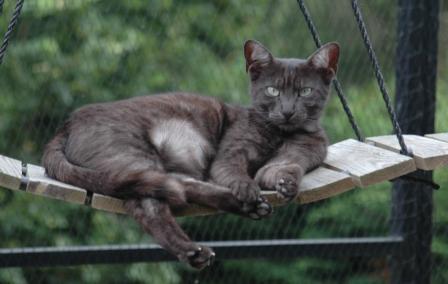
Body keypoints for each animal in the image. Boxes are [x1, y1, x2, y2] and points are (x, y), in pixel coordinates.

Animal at [42, 40, 340, 268]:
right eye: (273, 90)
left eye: (305, 91)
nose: (288, 111)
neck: (280, 134)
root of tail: (66, 125)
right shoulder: (229, 155)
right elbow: (234, 172)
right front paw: (247, 188)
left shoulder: (308, 149)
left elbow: (288, 163)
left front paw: (283, 181)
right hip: (134, 155)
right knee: (158, 202)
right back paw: (220, 228)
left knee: (169, 193)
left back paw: (206, 242)